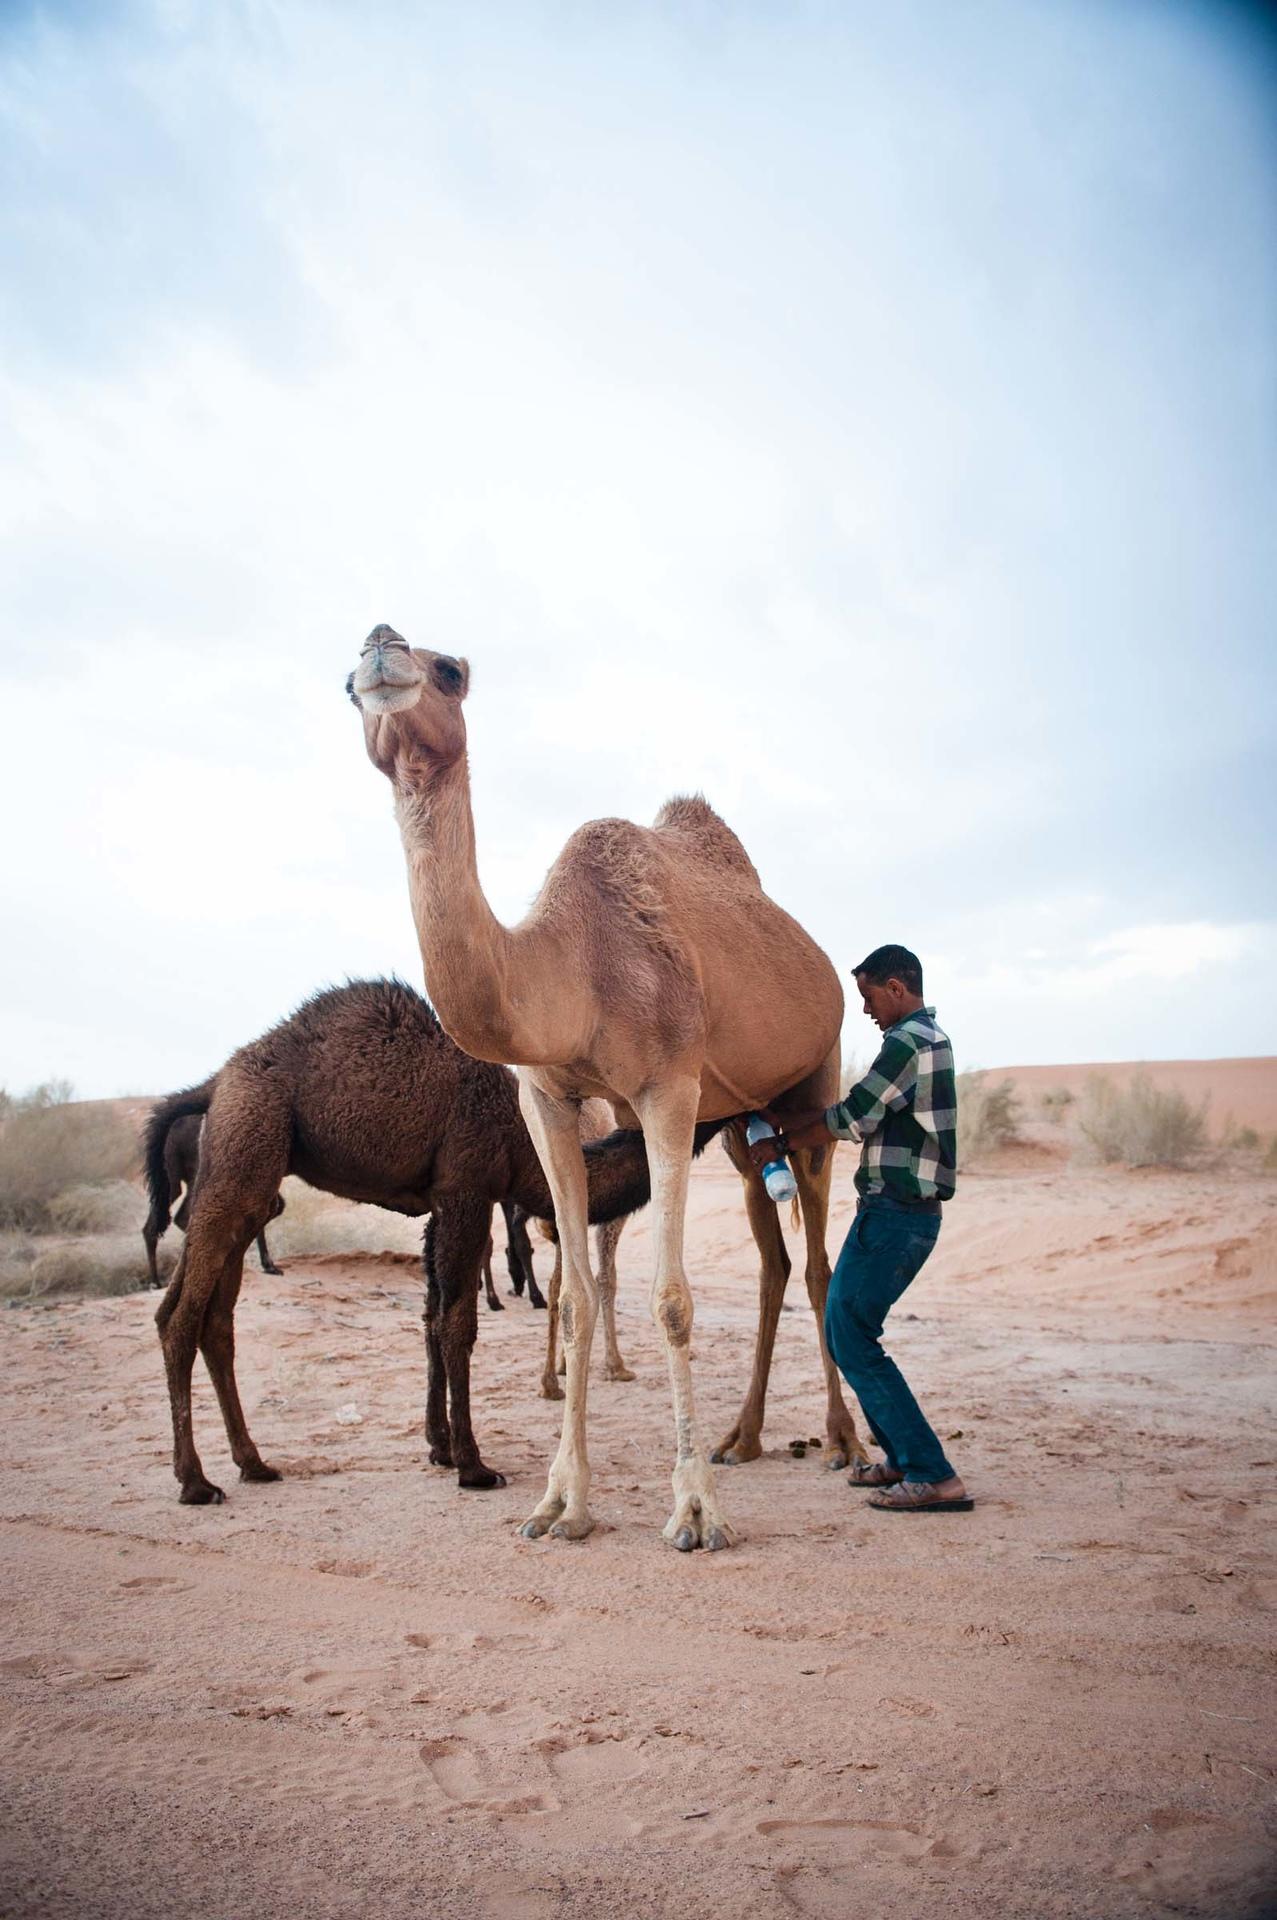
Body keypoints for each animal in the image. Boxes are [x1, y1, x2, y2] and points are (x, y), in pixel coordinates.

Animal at [149, 983, 718, 1505]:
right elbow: (457, 1324)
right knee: (180, 1316)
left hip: (240, 1172)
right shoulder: (466, 1187)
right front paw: (473, 1464)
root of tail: (213, 1084)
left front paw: (439, 1446)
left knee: (214, 1319)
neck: (520, 1134)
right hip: (245, 1147)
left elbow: (430, 1318)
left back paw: (253, 1463)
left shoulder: (439, 1207)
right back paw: (196, 1482)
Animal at [345, 622, 856, 1551]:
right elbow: (578, 1298)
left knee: (815, 1265)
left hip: (813, 1088)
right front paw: (560, 1503)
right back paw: (743, 1437)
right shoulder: (547, 1100)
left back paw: (846, 1445)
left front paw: (693, 1512)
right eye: (341, 682)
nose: (379, 647)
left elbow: (673, 1299)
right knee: (771, 1261)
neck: (575, 964)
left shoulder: (668, 1088)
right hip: (742, 1124)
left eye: (452, 671)